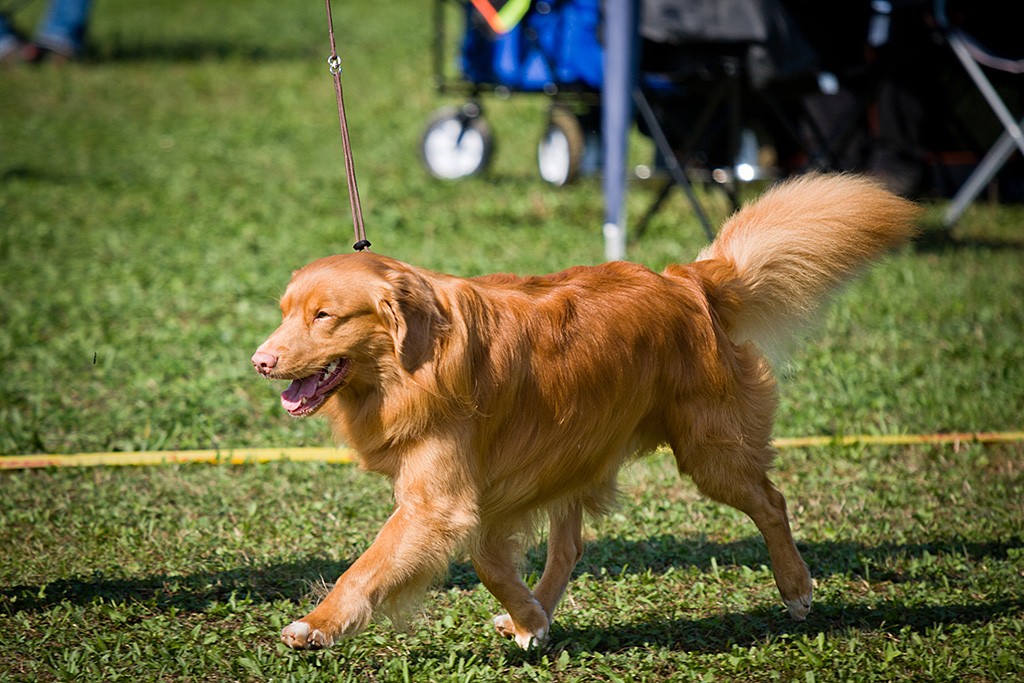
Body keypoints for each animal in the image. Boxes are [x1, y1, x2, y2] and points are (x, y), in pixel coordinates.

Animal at [251, 174, 917, 651]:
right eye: (285, 312)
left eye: (324, 316)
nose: (260, 361)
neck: (412, 362)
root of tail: (688, 283)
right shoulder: (483, 491)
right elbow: (487, 558)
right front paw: (529, 617)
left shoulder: (438, 503)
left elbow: (367, 569)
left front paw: (317, 624)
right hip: (572, 446)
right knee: (569, 547)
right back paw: (535, 611)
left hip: (709, 450)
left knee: (771, 502)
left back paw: (796, 587)